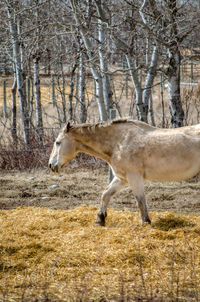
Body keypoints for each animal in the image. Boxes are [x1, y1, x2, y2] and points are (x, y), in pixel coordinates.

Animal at [48, 119, 200, 225]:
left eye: (58, 142)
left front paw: (146, 222)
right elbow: (105, 194)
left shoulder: (134, 177)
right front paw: (100, 219)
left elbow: (140, 201)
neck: (119, 142)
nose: (51, 165)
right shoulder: (122, 178)